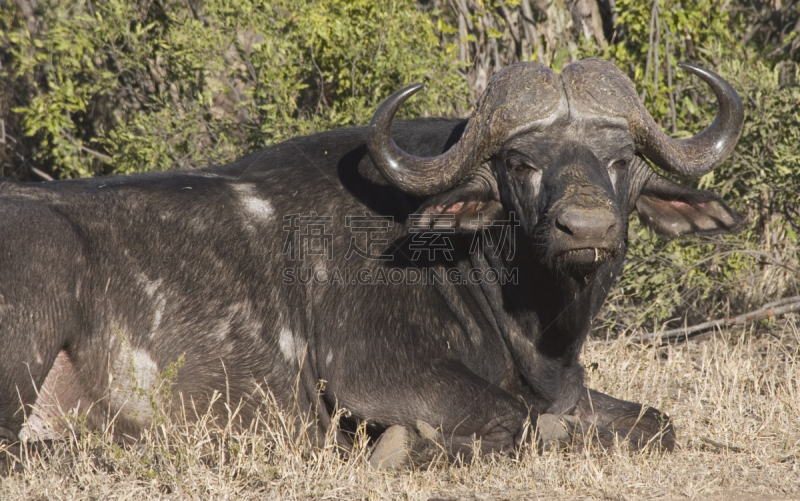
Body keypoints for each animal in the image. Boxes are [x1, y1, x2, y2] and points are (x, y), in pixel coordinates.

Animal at [0, 59, 744, 464]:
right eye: (520, 162)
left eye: (622, 161)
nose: (586, 228)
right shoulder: (373, 372)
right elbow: (514, 419)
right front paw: (400, 448)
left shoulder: (568, 389)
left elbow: (658, 423)